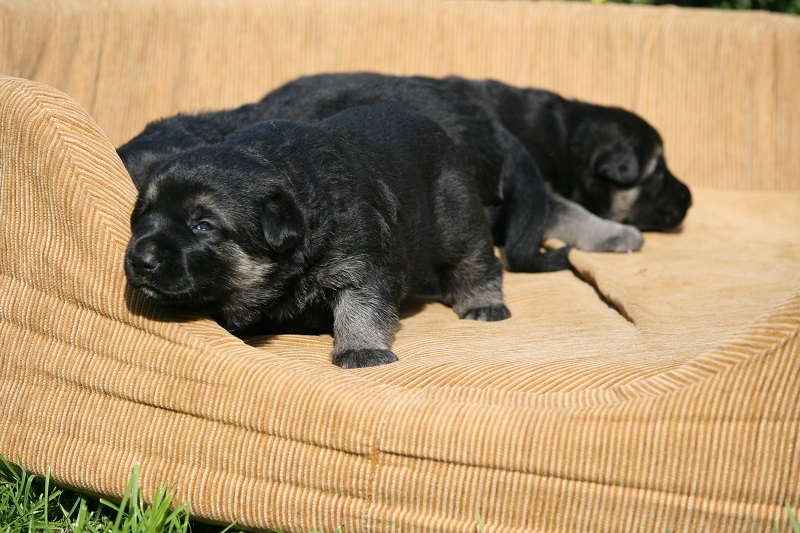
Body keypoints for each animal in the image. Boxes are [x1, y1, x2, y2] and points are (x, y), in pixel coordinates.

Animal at [125, 104, 512, 370]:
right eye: (142, 216)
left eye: (203, 224)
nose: (139, 260)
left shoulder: (363, 264)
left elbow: (359, 309)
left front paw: (361, 349)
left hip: (457, 217)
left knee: (476, 261)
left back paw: (483, 304)